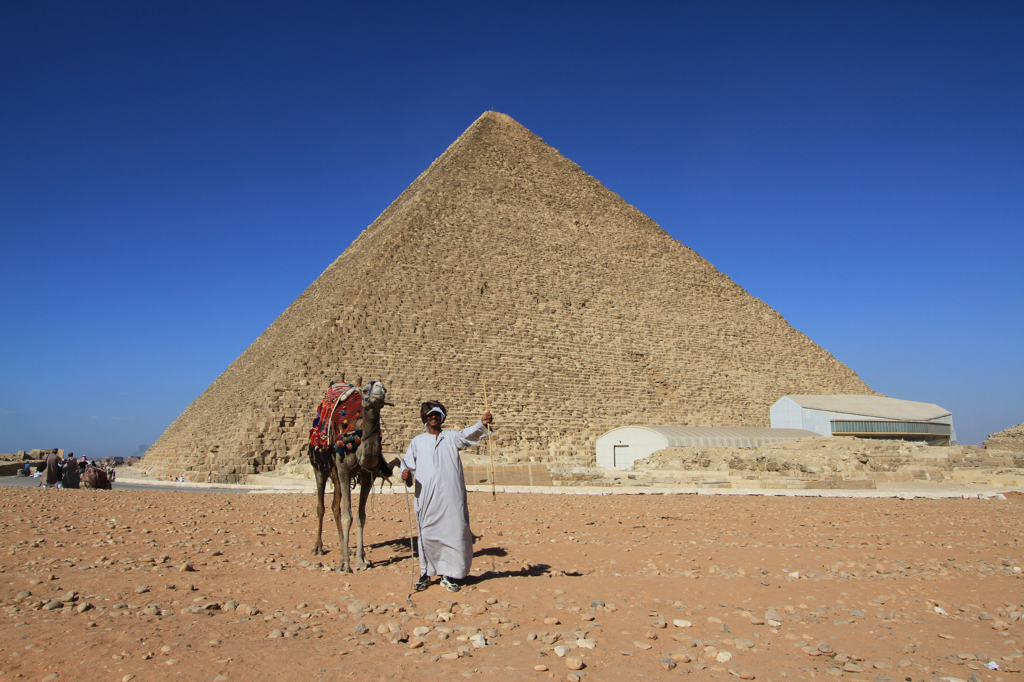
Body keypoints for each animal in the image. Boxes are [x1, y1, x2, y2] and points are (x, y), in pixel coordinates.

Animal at [305, 378, 393, 569]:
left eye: (385, 388)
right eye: (366, 389)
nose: (379, 389)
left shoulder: (368, 476)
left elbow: (361, 517)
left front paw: (361, 559)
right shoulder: (344, 470)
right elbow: (348, 517)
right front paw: (345, 564)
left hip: (336, 473)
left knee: (334, 506)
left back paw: (346, 550)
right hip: (320, 467)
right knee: (321, 507)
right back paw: (318, 547)